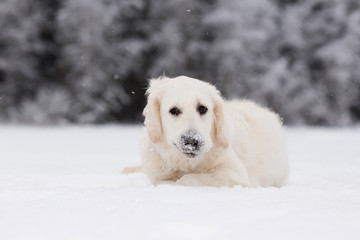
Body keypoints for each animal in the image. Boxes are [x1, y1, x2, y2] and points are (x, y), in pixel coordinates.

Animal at [124, 75, 290, 188]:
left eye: (202, 108)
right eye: (174, 110)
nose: (192, 141)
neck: (187, 164)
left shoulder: (236, 175)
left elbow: (191, 178)